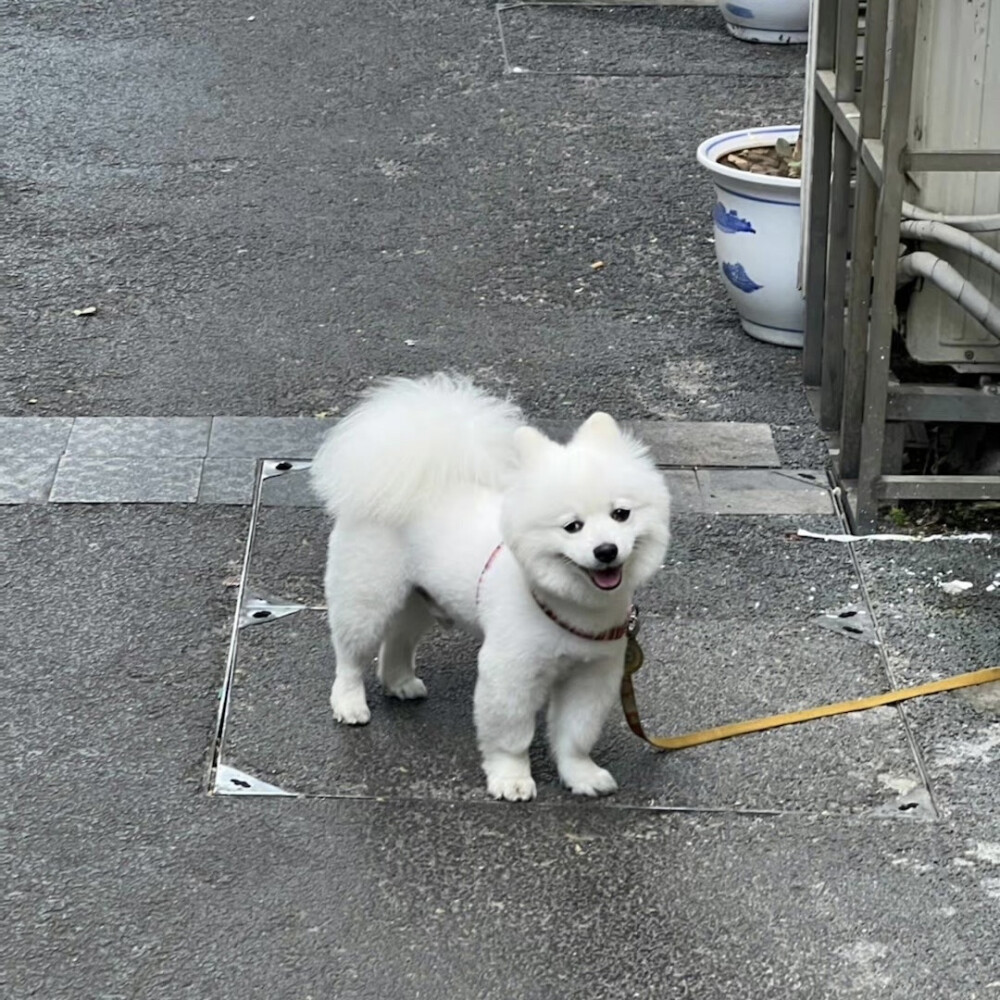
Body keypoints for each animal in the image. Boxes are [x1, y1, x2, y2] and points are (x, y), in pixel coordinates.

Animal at [312, 372, 672, 800]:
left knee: (398, 639)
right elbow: (511, 734)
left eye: (621, 514)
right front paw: (511, 779)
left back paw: (399, 682)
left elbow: (575, 734)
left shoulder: (592, 672)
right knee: (351, 654)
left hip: (420, 597)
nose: (606, 550)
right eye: (572, 526)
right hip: (367, 596)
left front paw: (580, 775)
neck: (569, 607)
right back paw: (349, 703)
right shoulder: (511, 670)